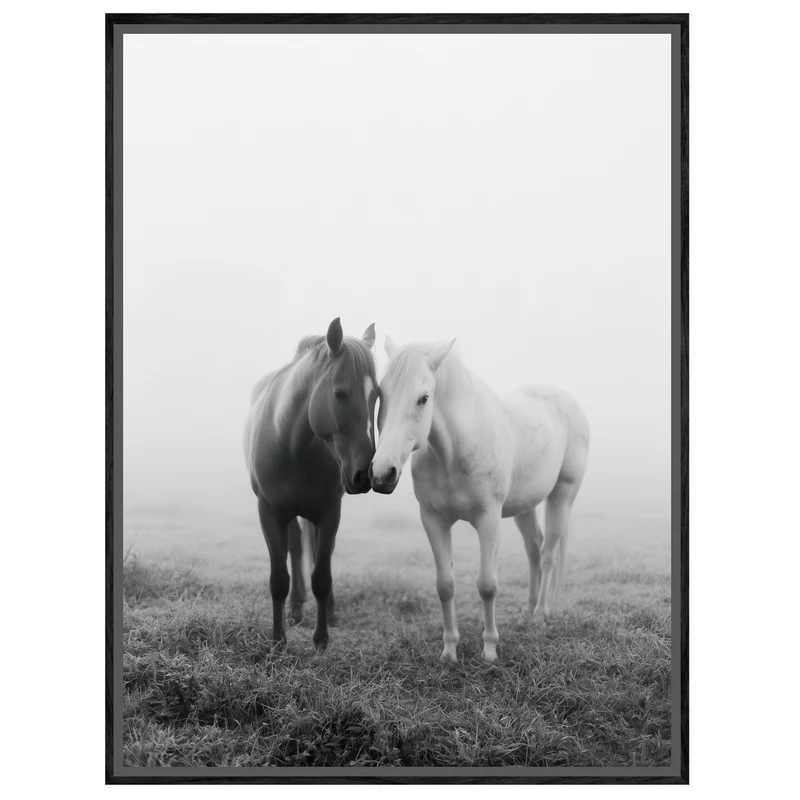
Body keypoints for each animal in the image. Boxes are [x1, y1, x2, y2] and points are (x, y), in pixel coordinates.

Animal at [243, 318, 378, 650]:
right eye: (340, 394)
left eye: (376, 396)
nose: (365, 475)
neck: (292, 444)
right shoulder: (269, 513)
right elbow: (279, 578)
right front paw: (278, 639)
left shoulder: (329, 512)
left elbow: (322, 575)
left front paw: (321, 638)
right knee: (295, 548)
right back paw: (295, 607)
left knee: (315, 552)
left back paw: (327, 611)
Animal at [369, 337, 589, 662]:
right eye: (381, 394)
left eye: (423, 398)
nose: (382, 474)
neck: (453, 454)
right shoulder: (433, 521)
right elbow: (445, 586)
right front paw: (449, 650)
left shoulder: (488, 519)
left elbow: (487, 585)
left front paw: (489, 650)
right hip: (525, 507)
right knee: (534, 550)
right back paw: (529, 609)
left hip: (562, 496)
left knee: (549, 553)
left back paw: (541, 612)